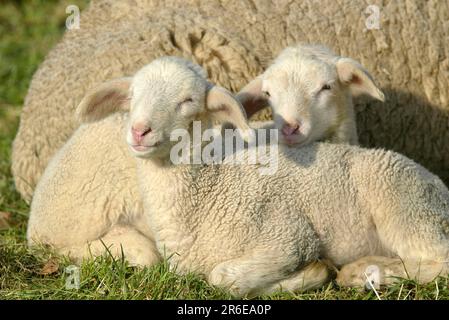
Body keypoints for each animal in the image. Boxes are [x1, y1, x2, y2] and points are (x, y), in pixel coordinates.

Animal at [77, 55, 448, 298]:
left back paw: (374, 275)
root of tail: (439, 186)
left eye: (188, 100)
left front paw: (313, 272)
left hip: (407, 209)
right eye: (132, 96)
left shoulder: (287, 238)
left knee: (439, 260)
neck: (208, 193)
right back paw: (362, 269)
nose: (139, 131)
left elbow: (221, 277)